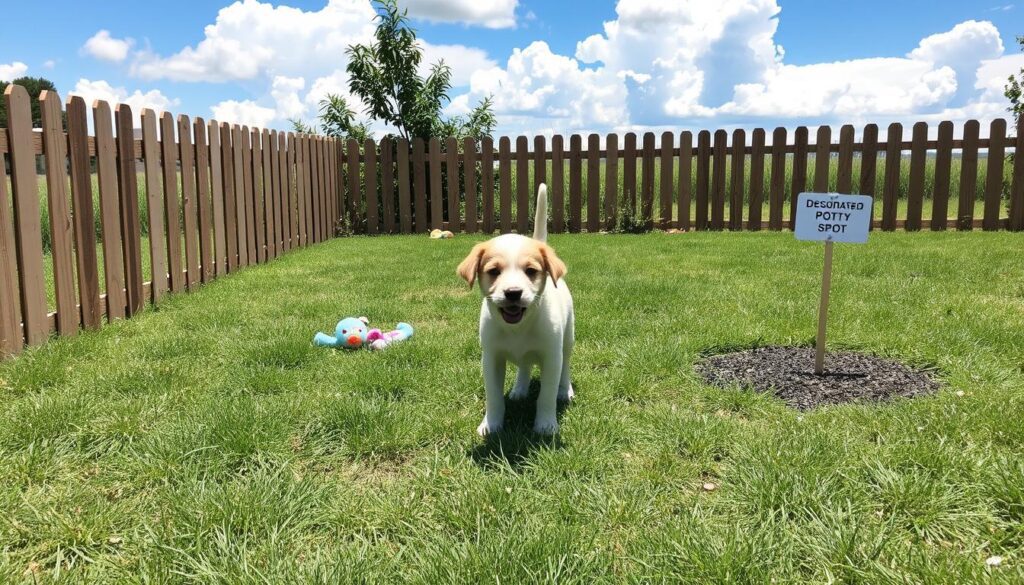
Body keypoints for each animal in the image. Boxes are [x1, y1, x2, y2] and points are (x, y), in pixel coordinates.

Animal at [458, 185, 577, 436]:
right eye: (494, 271)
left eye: (531, 271)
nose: (513, 292)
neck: (518, 328)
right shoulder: (491, 358)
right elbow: (493, 397)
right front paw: (491, 424)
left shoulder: (552, 356)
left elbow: (546, 394)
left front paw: (546, 424)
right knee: (525, 364)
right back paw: (519, 389)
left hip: (568, 339)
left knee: (565, 366)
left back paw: (565, 390)